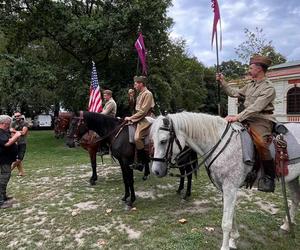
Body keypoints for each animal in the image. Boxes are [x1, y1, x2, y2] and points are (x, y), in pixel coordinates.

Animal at [150, 112, 300, 250]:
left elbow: (226, 222)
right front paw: (233, 240)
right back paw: (287, 225)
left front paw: (225, 246)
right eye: (152, 140)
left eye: (163, 141)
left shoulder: (230, 188)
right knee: (295, 198)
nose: (155, 171)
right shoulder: (225, 189)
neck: (221, 144)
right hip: (293, 178)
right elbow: (232, 216)